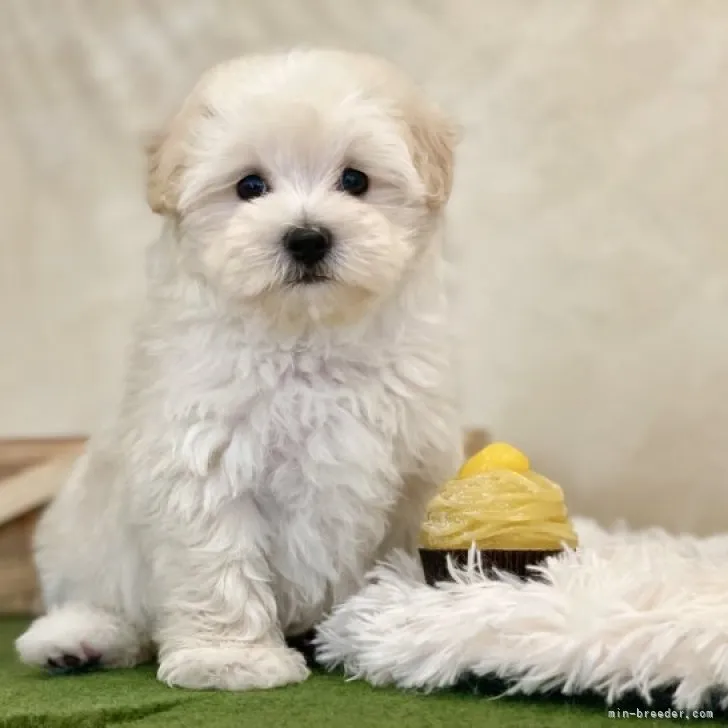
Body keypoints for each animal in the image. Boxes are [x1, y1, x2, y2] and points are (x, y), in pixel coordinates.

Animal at [15, 48, 460, 692]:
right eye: (250, 186)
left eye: (355, 180)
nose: (307, 238)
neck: (305, 341)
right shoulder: (202, 463)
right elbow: (217, 565)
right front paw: (230, 660)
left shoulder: (414, 473)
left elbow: (401, 555)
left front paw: (391, 629)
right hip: (79, 543)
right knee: (104, 604)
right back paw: (76, 640)